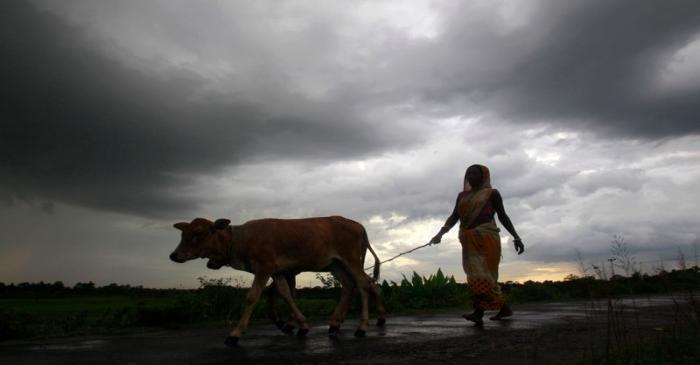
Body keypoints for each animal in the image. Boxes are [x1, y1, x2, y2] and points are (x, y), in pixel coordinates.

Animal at [171, 215, 382, 346]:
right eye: (183, 234)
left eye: (198, 233)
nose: (174, 255)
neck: (240, 240)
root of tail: (357, 225)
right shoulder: (278, 272)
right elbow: (285, 293)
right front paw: (301, 325)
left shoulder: (264, 268)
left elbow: (252, 297)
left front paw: (235, 334)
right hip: (336, 265)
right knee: (349, 285)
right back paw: (335, 324)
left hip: (351, 260)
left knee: (365, 284)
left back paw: (362, 327)